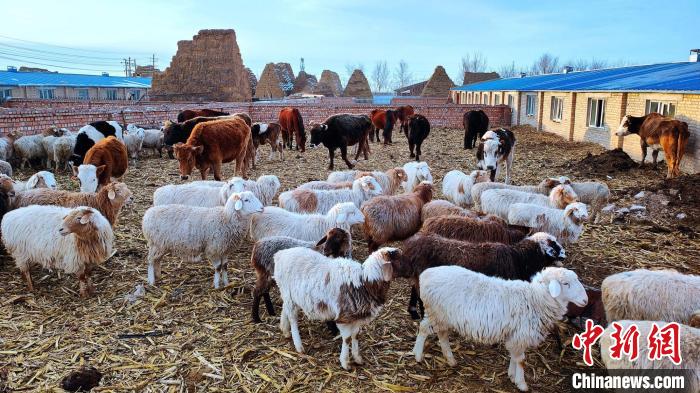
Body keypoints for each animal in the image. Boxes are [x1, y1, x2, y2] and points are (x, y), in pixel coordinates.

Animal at [274, 245, 404, 368]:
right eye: (397, 258)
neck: (364, 282)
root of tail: (280, 254)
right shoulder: (344, 317)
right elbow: (347, 338)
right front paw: (345, 362)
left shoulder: (356, 317)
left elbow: (355, 335)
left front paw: (357, 358)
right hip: (288, 293)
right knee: (293, 319)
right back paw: (298, 345)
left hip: (288, 294)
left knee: (285, 308)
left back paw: (285, 330)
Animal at [396, 233, 568, 318]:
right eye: (554, 245)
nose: (565, 255)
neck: (519, 258)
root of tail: (411, 246)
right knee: (420, 294)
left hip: (418, 275)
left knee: (414, 290)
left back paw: (413, 312)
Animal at [412, 264, 588, 390]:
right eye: (565, 283)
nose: (585, 301)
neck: (536, 298)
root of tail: (426, 274)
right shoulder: (521, 335)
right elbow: (522, 360)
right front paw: (522, 384)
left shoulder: (516, 336)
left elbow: (515, 357)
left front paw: (512, 375)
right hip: (436, 312)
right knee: (423, 328)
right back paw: (418, 355)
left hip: (443, 316)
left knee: (442, 334)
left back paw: (450, 359)